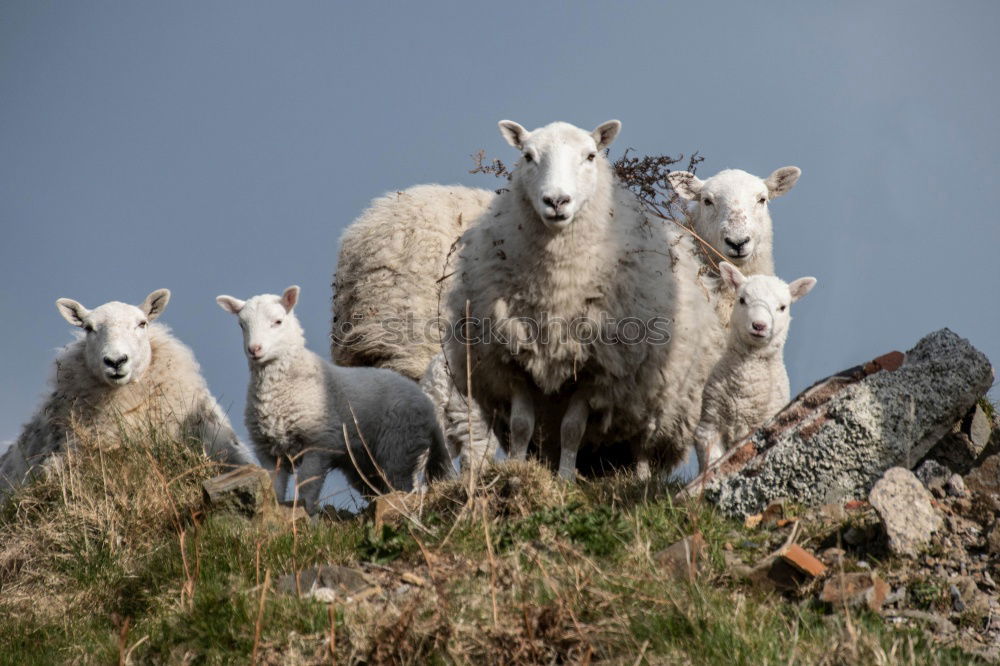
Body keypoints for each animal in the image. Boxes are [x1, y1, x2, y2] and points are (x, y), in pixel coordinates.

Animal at [221, 282, 456, 510]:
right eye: (242, 325)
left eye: (278, 321)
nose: (254, 349)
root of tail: (429, 408)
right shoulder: (268, 451)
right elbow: (274, 490)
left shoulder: (318, 443)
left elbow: (307, 489)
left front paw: (307, 516)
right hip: (366, 462)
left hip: (399, 447)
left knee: (404, 486)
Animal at [444, 119, 672, 480]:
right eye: (528, 155)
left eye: (591, 155)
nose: (556, 201)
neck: (556, 289)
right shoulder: (512, 360)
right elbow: (522, 425)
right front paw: (516, 470)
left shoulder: (594, 369)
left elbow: (572, 429)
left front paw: (565, 478)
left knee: (640, 445)